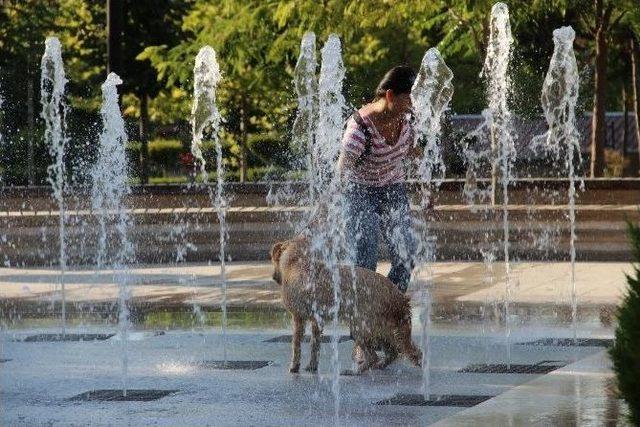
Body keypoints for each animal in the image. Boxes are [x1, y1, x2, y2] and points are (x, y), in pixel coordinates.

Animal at [268, 237, 422, 374]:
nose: (273, 277)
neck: (299, 263)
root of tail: (398, 296)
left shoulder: (298, 317)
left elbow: (296, 344)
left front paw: (294, 366)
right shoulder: (316, 321)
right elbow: (315, 345)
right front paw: (312, 366)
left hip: (360, 325)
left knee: (373, 356)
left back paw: (355, 371)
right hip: (384, 328)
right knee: (394, 352)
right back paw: (379, 365)